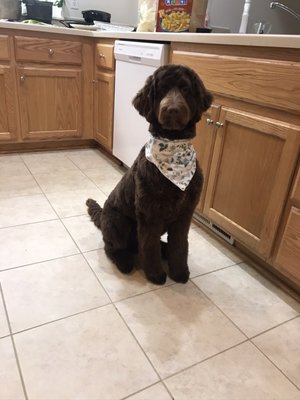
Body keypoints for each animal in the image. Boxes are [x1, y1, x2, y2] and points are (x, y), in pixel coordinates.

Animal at [86, 64, 212, 284]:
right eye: (161, 90)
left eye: (185, 89)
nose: (172, 110)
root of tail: (102, 215)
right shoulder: (149, 214)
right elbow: (149, 245)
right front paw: (155, 274)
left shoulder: (184, 215)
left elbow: (180, 244)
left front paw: (179, 271)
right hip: (119, 222)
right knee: (112, 247)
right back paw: (124, 261)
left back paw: (165, 250)